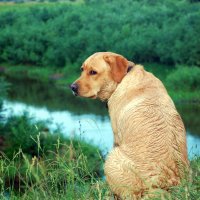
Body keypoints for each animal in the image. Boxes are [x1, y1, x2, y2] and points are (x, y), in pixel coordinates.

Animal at [70, 51, 189, 198]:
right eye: (82, 69)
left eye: (93, 72)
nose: (72, 87)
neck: (123, 78)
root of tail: (164, 187)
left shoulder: (116, 137)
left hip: (112, 159)